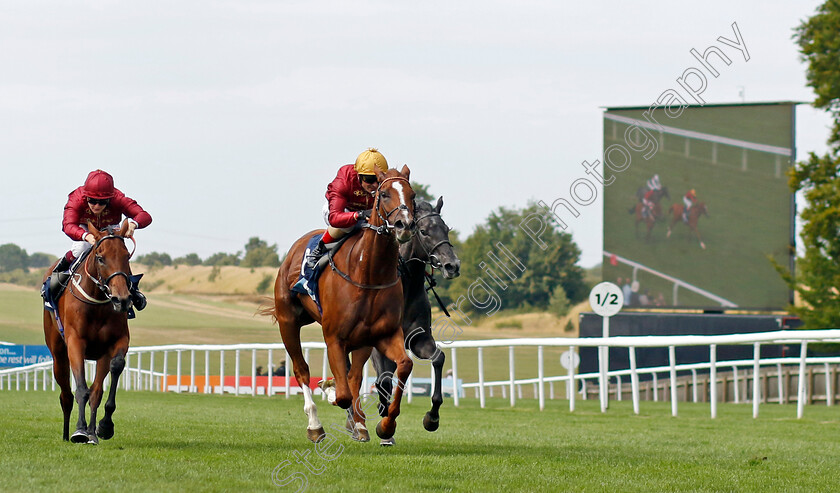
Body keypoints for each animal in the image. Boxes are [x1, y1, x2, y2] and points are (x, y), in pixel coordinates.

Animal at [43, 219, 136, 442]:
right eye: (100, 258)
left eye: (126, 256)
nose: (122, 299)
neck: (98, 302)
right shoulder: (75, 342)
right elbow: (81, 390)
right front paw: (79, 430)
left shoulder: (117, 341)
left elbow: (113, 370)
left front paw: (104, 426)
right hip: (58, 353)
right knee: (66, 395)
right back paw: (67, 434)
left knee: (95, 392)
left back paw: (92, 433)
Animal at [270, 165, 418, 442]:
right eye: (384, 194)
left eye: (412, 195)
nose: (404, 225)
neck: (368, 274)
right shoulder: (334, 338)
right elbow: (342, 394)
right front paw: (328, 388)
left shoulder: (382, 334)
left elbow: (403, 365)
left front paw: (385, 426)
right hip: (288, 321)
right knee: (301, 369)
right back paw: (315, 425)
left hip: (358, 339)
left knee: (353, 375)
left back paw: (359, 424)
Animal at [370, 197, 460, 446]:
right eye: (424, 231)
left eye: (446, 229)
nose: (452, 265)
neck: (406, 289)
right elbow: (383, 381)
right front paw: (385, 425)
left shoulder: (419, 339)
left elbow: (438, 358)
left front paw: (432, 417)